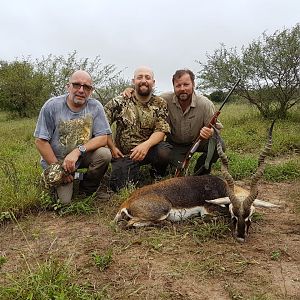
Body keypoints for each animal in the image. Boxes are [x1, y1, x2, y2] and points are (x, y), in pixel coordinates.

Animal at [113, 122, 278, 241]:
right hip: (162, 211)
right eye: (234, 215)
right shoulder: (208, 210)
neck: (222, 186)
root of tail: (126, 202)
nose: (240, 237)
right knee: (128, 224)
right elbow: (215, 216)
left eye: (250, 215)